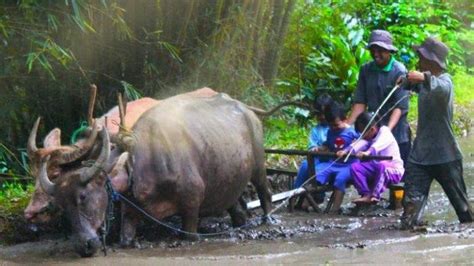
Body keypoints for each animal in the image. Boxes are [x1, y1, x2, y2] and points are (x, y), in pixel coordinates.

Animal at [39, 92, 272, 256]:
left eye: (83, 197)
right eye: (61, 205)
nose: (84, 246)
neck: (139, 164)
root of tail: (246, 109)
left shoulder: (192, 205)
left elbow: (190, 233)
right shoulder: (130, 209)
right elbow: (126, 237)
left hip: (259, 166)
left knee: (264, 191)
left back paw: (268, 218)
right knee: (236, 207)